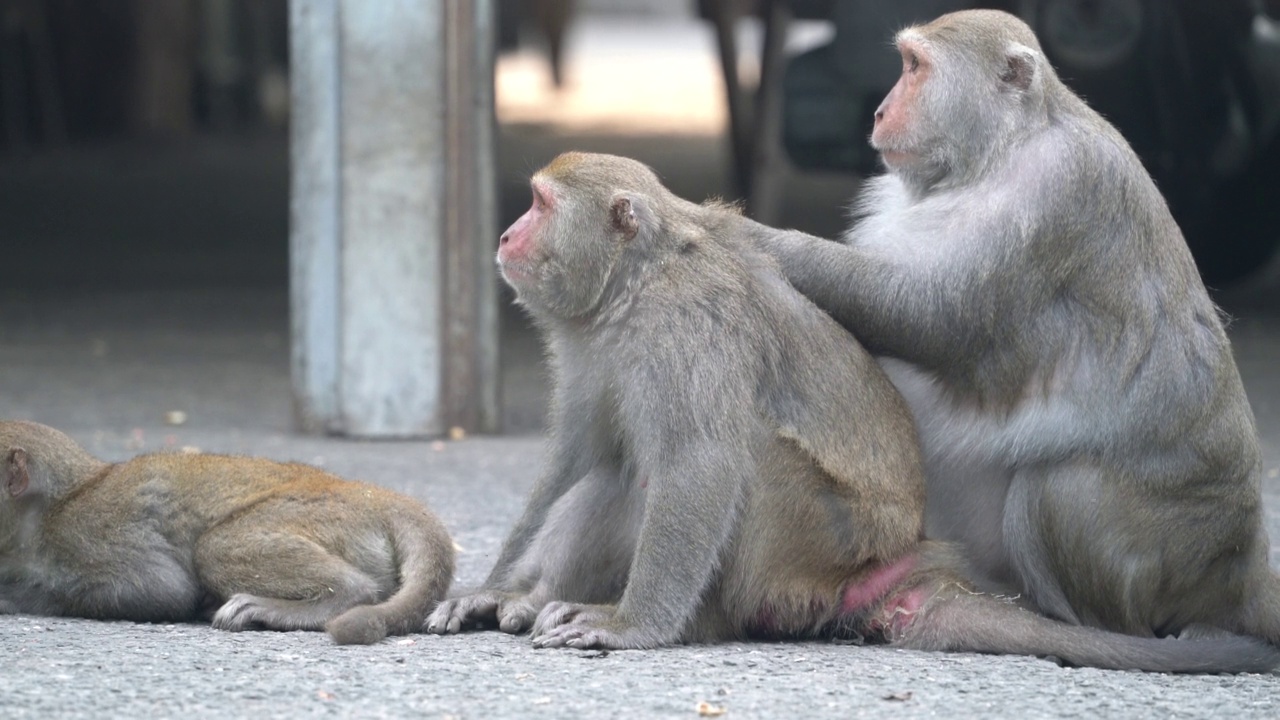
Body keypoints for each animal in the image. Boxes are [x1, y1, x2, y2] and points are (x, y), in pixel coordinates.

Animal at [0, 417, 458, 640]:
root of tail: (373, 495)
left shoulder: (87, 532)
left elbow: (164, 590)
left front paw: (13, 598)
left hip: (331, 516)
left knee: (214, 547)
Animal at [427, 151, 1280, 671]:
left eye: (539, 205)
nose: (506, 231)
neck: (631, 291)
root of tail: (884, 564)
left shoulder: (686, 331)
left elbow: (699, 467)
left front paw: (632, 626)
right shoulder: (589, 347)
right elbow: (572, 459)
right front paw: (492, 588)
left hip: (815, 547)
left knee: (741, 461)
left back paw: (704, 621)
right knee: (616, 470)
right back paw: (526, 601)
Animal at [752, 8, 1280, 645]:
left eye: (915, 67)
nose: (879, 111)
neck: (999, 149)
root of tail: (1240, 562)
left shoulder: (1051, 191)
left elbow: (929, 315)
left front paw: (747, 234)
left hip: (1162, 560)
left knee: (1058, 490)